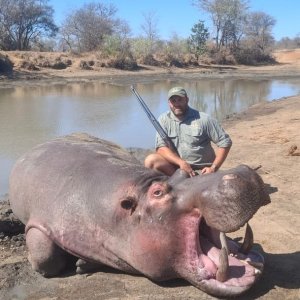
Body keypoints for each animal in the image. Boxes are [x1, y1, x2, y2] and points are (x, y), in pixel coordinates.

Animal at [9, 133, 270, 298]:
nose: (242, 171)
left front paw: (82, 264)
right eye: (158, 192)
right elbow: (45, 258)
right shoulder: (43, 222)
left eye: (185, 175)